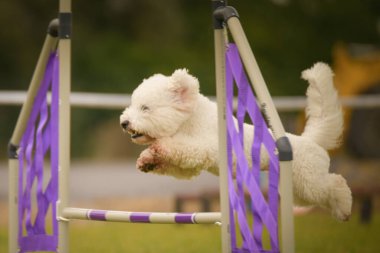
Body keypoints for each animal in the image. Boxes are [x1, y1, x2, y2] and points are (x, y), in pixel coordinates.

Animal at [120, 63, 352, 221]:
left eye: (145, 108)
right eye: (133, 105)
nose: (124, 122)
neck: (190, 120)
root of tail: (311, 140)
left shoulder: (202, 148)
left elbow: (179, 147)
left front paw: (158, 148)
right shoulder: (189, 167)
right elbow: (171, 164)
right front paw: (147, 160)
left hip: (310, 180)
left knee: (336, 183)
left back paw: (345, 209)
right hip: (298, 189)